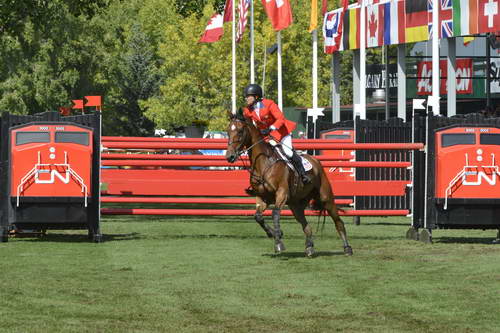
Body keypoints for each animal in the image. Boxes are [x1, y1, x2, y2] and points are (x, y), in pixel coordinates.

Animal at [227, 113, 352, 255]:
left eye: (240, 131)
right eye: (228, 131)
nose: (229, 156)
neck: (263, 163)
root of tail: (316, 161)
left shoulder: (282, 193)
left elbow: (275, 214)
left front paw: (278, 242)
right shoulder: (263, 197)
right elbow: (258, 216)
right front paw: (274, 233)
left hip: (326, 198)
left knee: (338, 221)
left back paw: (347, 248)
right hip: (295, 204)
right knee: (305, 225)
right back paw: (309, 247)